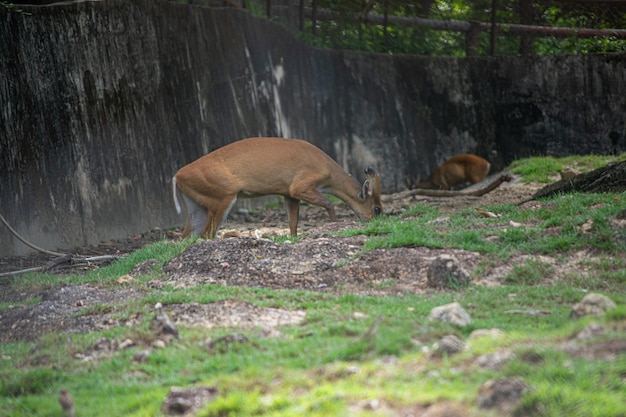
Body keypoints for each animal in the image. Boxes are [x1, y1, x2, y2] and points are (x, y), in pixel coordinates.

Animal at [169, 136, 380, 237]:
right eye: (377, 209)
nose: (373, 222)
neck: (327, 168)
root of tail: (177, 176)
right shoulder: (300, 185)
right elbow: (329, 203)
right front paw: (335, 224)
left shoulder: (289, 194)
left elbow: (293, 222)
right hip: (223, 195)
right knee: (207, 234)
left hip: (198, 205)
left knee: (188, 236)